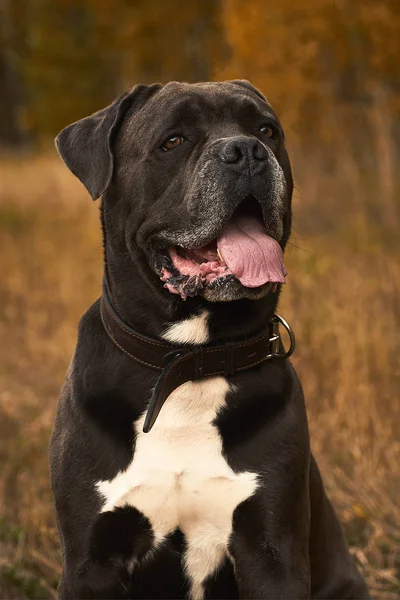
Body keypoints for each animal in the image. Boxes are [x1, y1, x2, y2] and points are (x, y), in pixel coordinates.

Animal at [49, 81, 368, 600]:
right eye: (173, 141)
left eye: (267, 130)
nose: (247, 152)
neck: (190, 361)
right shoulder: (91, 560)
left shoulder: (272, 549)